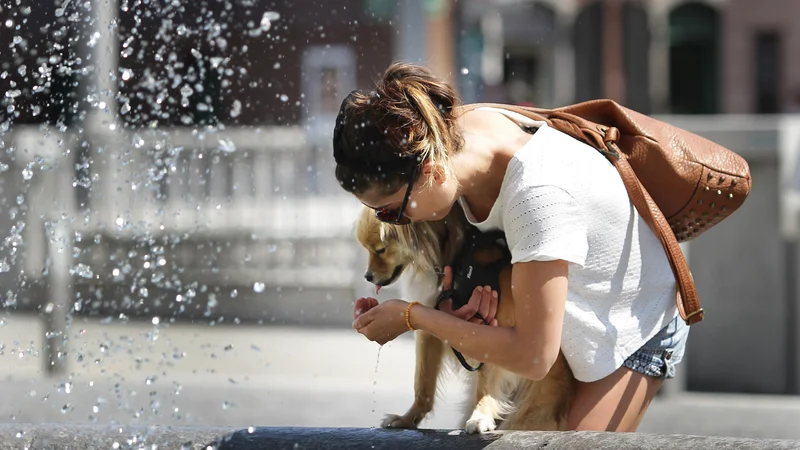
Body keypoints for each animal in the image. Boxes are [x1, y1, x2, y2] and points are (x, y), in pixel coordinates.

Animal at [354, 203, 576, 432]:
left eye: (380, 250)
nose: (367, 276)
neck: (454, 255)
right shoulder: (429, 327)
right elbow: (423, 383)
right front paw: (408, 419)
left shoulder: (494, 328)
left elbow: (484, 385)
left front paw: (481, 415)